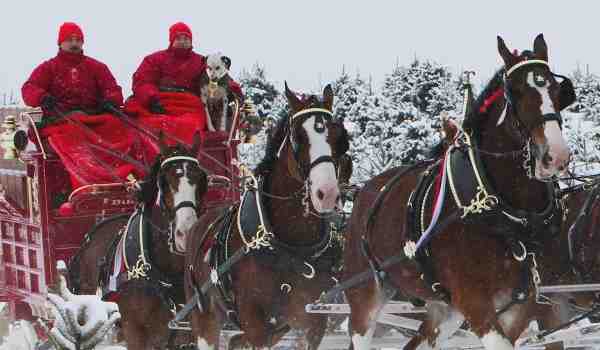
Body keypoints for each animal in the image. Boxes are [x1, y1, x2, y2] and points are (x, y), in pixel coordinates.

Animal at [185, 83, 350, 348]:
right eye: (298, 137)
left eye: (339, 138)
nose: (327, 194)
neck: (291, 243)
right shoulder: (255, 322)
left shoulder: (312, 320)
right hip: (204, 317)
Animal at [342, 33, 572, 350]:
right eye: (514, 92)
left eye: (557, 89)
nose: (556, 156)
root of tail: (363, 192)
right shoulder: (475, 304)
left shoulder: (518, 306)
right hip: (365, 294)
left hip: (445, 310)